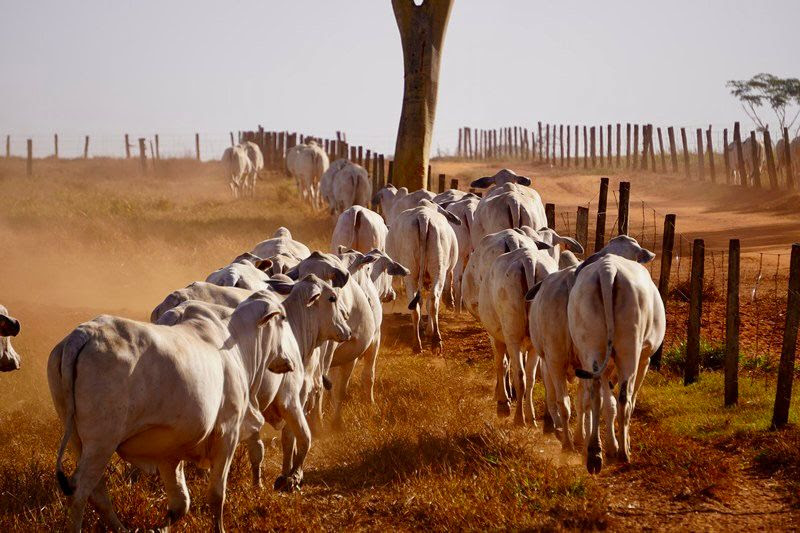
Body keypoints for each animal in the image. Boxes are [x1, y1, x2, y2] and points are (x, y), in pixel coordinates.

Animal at [49, 276, 346, 528]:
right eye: (332, 298)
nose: (289, 360)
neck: (238, 346)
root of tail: (82, 335)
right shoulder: (237, 427)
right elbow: (220, 492)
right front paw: (290, 478)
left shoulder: (169, 452)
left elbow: (181, 503)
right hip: (101, 443)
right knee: (80, 492)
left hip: (78, 440)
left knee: (97, 494)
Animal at [386, 197, 460, 352]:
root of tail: (423, 217)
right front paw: (428, 330)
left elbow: (421, 303)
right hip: (437, 271)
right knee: (432, 301)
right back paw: (435, 339)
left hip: (411, 274)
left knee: (417, 305)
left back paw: (418, 344)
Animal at [572, 251, 664, 472]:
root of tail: (608, 270)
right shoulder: (645, 359)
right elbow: (627, 400)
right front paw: (621, 445)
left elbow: (607, 403)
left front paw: (610, 447)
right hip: (630, 349)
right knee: (624, 397)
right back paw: (623, 452)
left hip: (591, 347)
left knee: (595, 393)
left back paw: (595, 453)